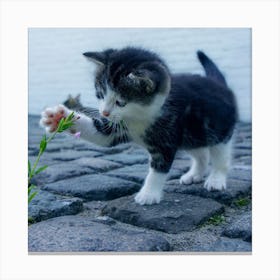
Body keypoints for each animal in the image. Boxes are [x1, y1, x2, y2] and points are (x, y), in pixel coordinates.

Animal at [38, 47, 236, 206]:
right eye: (100, 94)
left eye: (121, 102)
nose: (104, 113)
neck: (141, 116)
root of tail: (220, 84)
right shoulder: (117, 127)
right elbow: (100, 134)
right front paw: (59, 117)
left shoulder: (167, 136)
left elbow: (158, 168)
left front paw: (148, 194)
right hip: (192, 135)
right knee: (201, 153)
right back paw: (194, 174)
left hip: (218, 129)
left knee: (220, 156)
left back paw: (216, 179)